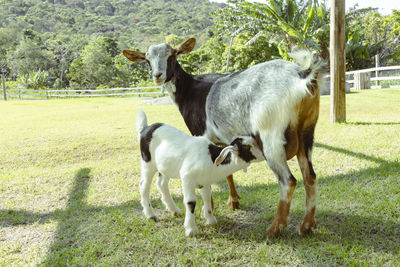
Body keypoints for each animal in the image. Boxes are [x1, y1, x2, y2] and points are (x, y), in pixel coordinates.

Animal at [137, 109, 262, 237]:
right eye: (248, 147)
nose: (265, 152)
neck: (211, 159)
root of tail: (145, 128)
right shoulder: (187, 177)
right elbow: (191, 202)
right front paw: (191, 230)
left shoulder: (204, 181)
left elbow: (207, 197)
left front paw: (211, 220)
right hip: (147, 162)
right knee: (144, 186)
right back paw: (151, 215)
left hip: (166, 166)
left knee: (161, 183)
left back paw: (175, 211)